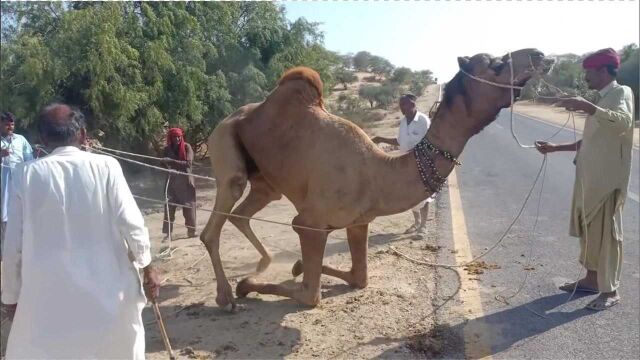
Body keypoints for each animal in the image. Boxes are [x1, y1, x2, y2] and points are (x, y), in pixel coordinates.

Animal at [201, 47, 556, 310]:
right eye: (495, 64)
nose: (540, 54)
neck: (377, 174)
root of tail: (234, 115)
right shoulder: (309, 224)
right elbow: (310, 295)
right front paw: (248, 284)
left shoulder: (359, 221)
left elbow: (360, 278)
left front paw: (295, 267)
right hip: (225, 145)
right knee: (214, 223)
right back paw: (227, 295)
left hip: (266, 182)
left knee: (242, 214)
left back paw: (263, 261)